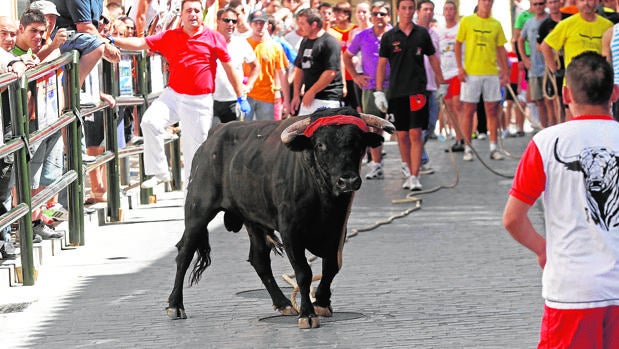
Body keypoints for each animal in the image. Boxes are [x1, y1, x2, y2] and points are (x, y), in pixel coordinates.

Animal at [167, 107, 394, 328]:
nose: (347, 181)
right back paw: (175, 305)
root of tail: (213, 135)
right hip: (197, 210)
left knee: (259, 260)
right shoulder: (290, 231)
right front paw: (307, 314)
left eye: (358, 142)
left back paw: (283, 303)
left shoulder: (337, 230)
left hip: (253, 219)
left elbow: (331, 267)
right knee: (184, 253)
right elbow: (303, 273)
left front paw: (321, 302)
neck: (322, 196)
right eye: (320, 144)